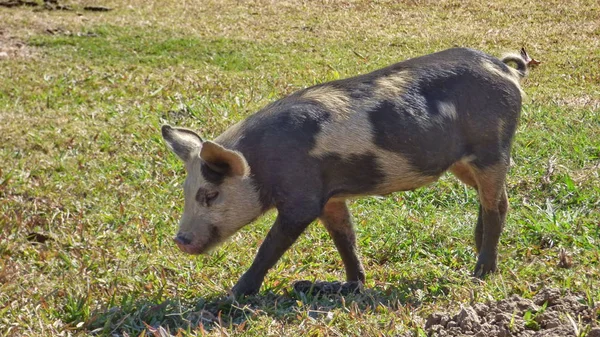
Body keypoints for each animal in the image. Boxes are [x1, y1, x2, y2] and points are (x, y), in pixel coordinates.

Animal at [161, 46, 528, 294]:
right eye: (185, 193)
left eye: (210, 195)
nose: (180, 240)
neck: (261, 163)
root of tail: (505, 70)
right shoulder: (330, 197)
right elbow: (344, 238)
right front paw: (344, 286)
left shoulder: (302, 198)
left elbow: (270, 246)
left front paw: (231, 296)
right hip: (461, 163)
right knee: (495, 199)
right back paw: (477, 248)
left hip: (492, 148)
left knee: (497, 205)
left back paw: (481, 273)